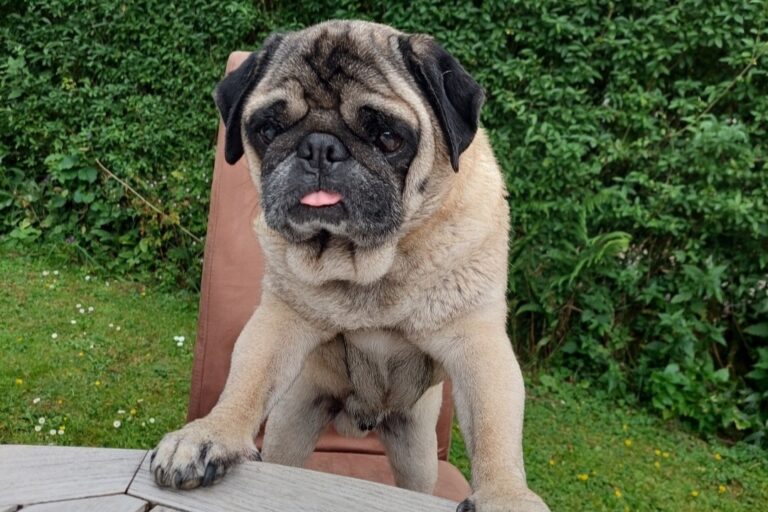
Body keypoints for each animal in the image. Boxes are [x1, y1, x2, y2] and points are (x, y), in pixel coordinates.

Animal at [150, 20, 550, 512]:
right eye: (267, 129)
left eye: (388, 138)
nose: (319, 146)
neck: (371, 261)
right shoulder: (277, 322)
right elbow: (245, 380)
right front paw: (209, 434)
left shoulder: (479, 346)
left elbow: (496, 430)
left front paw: (505, 496)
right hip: (293, 418)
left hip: (417, 451)